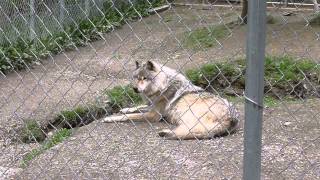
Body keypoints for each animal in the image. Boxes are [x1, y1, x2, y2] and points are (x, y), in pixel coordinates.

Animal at [103, 60, 240, 139]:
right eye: (136, 77)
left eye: (144, 78)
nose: (135, 89)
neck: (163, 86)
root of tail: (233, 118)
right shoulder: (152, 105)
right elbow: (138, 107)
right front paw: (124, 109)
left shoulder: (153, 115)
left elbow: (129, 116)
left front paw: (110, 118)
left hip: (188, 116)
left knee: (196, 131)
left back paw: (166, 132)